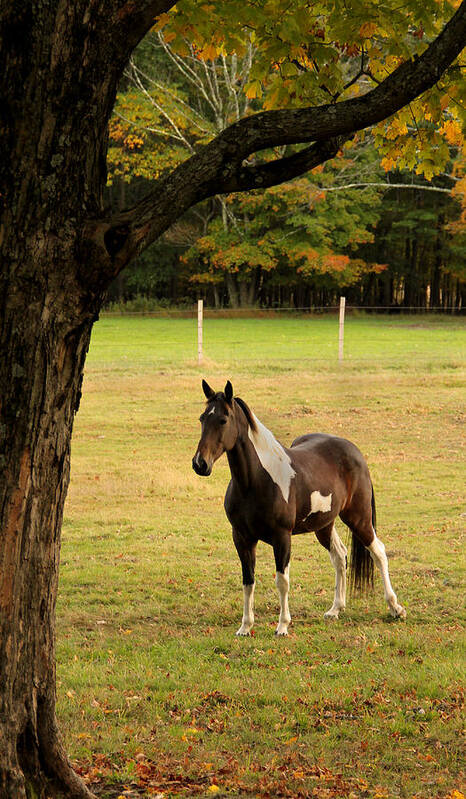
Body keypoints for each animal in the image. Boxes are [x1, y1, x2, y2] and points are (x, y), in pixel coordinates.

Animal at [191, 382, 406, 636]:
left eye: (223, 420)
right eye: (202, 418)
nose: (200, 463)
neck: (256, 481)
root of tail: (353, 451)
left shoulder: (282, 537)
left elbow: (282, 581)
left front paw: (282, 626)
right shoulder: (242, 538)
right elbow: (248, 580)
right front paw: (245, 626)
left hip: (359, 518)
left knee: (378, 552)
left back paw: (395, 608)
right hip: (324, 525)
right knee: (340, 556)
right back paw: (335, 609)